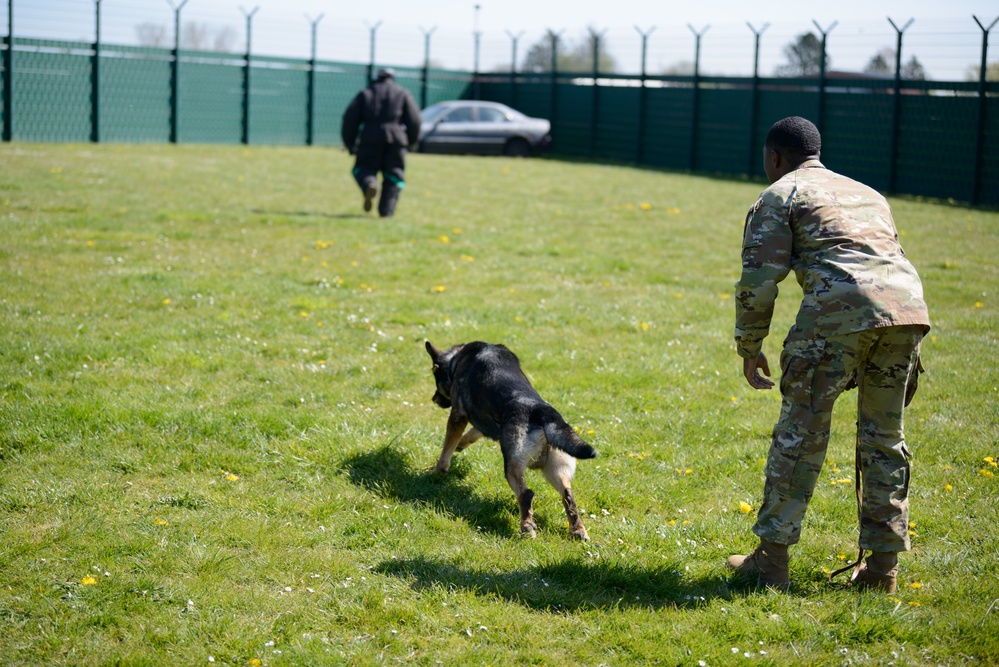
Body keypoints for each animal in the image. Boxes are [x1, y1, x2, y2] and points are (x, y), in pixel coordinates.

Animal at [422, 342, 592, 540]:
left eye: (436, 380)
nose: (434, 399)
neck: (456, 359)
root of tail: (541, 410)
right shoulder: (487, 421)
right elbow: (473, 433)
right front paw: (462, 444)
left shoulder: (458, 416)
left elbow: (446, 449)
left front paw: (437, 471)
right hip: (555, 470)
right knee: (568, 496)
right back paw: (578, 530)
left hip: (513, 466)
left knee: (526, 494)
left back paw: (527, 528)